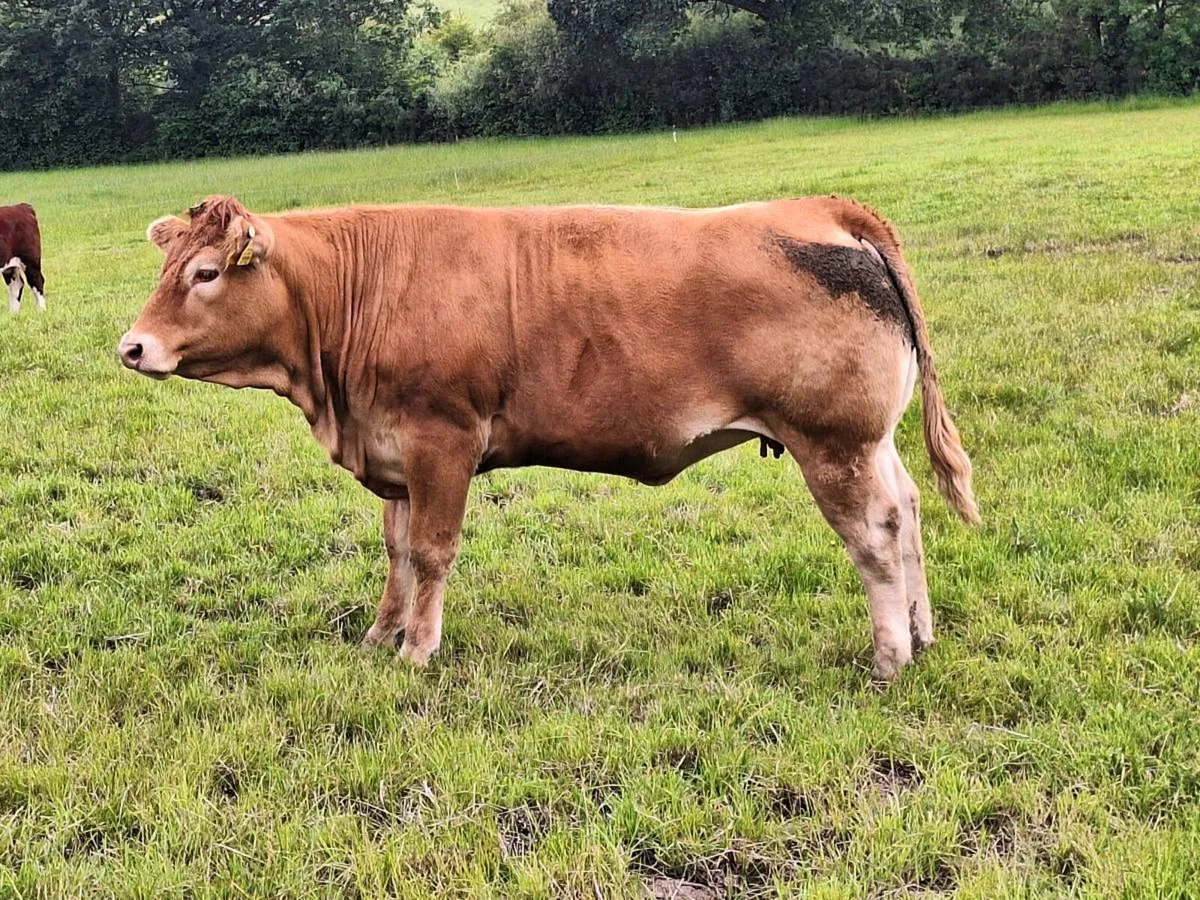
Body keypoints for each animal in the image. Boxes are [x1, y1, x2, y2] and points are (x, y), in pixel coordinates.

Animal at [118, 194, 979, 681]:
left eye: (204, 274)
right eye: (166, 266)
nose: (131, 347)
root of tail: (822, 209)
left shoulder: (441, 441)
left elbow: (432, 551)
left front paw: (418, 650)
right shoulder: (393, 451)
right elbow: (397, 552)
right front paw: (378, 634)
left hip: (833, 445)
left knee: (874, 536)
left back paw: (890, 657)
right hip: (873, 443)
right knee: (907, 513)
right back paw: (922, 633)